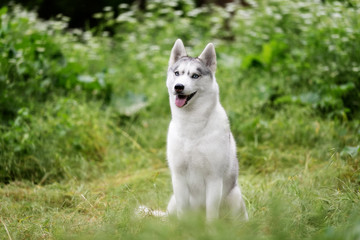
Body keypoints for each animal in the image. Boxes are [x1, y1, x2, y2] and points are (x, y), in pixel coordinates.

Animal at [166, 39, 248, 221]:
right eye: (177, 73)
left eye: (195, 76)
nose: (178, 87)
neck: (191, 123)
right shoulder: (178, 177)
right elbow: (183, 211)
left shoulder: (214, 179)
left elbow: (211, 214)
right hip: (172, 201)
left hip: (234, 196)